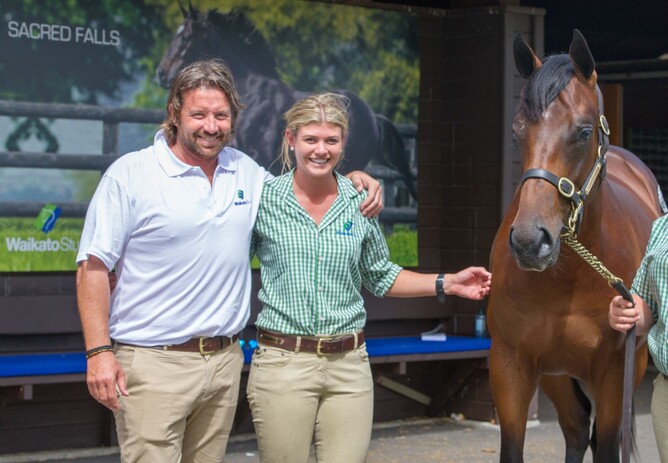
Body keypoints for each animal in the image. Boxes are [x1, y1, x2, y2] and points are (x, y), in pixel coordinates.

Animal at [488, 30, 664, 462]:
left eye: (584, 132)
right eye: (517, 133)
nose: (530, 241)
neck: (565, 279)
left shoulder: (613, 373)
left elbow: (607, 445)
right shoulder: (510, 367)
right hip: (556, 374)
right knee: (575, 427)